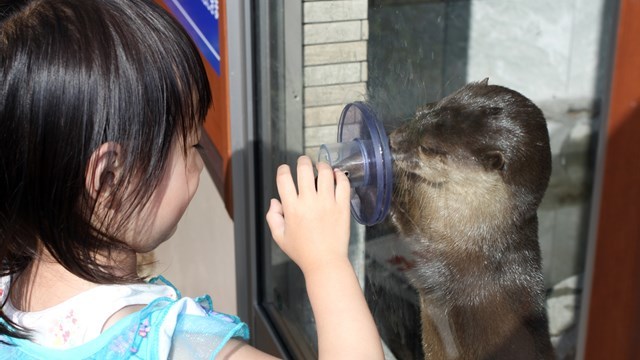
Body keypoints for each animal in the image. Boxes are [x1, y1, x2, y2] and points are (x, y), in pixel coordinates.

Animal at [390, 79, 556, 360]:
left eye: (428, 147)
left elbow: (417, 259)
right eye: (422, 110)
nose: (392, 140)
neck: (476, 237)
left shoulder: (453, 271)